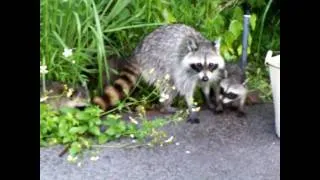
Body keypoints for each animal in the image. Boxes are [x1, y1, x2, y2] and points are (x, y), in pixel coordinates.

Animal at [94, 23, 226, 123]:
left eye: (211, 64)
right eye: (199, 64)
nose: (204, 78)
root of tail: (138, 53)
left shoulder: (212, 72)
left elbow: (207, 85)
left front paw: (209, 99)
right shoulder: (182, 70)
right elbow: (185, 89)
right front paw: (191, 106)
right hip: (155, 64)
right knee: (170, 86)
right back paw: (165, 107)